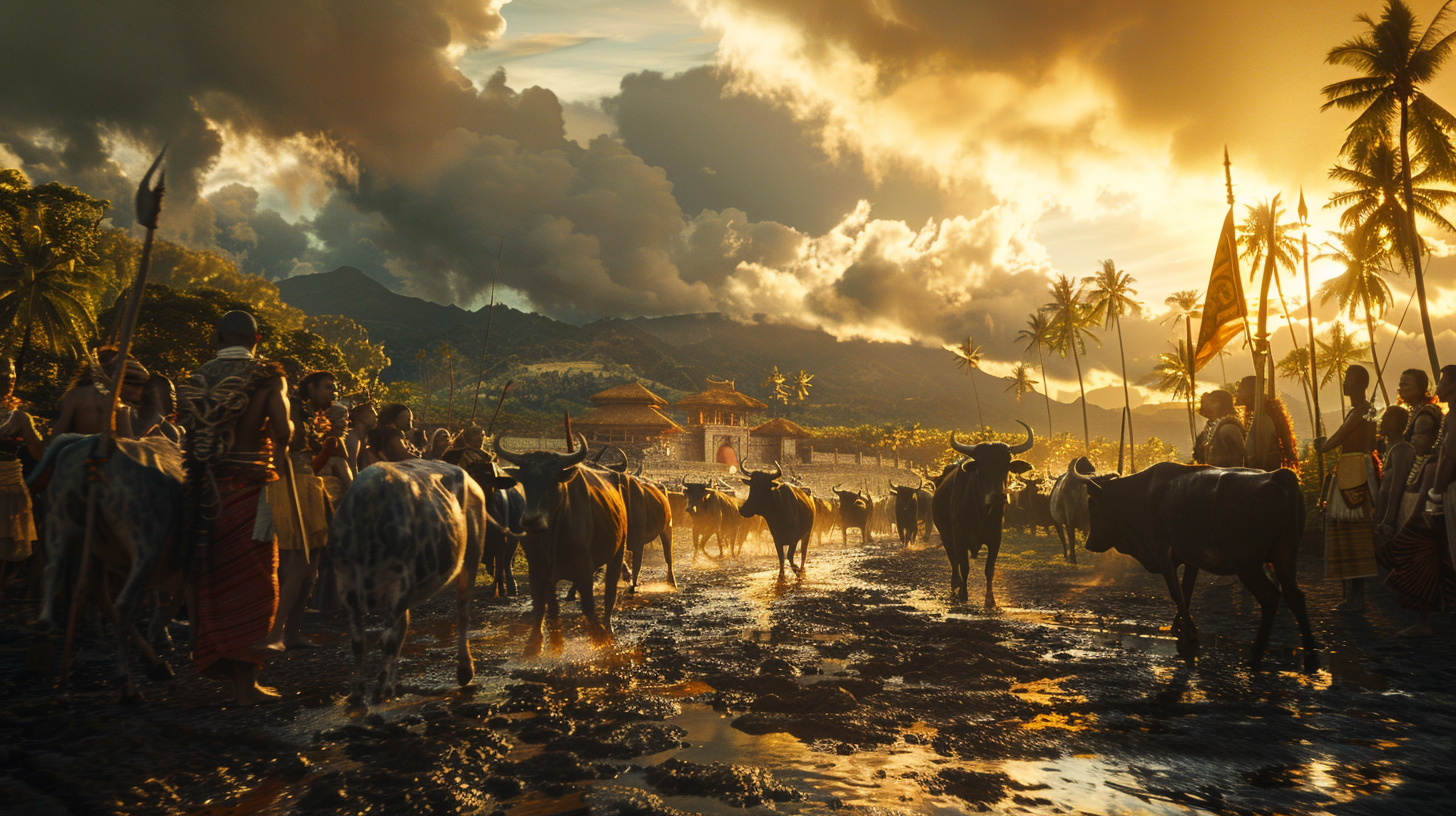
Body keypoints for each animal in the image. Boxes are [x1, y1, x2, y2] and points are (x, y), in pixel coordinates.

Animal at [931, 422, 1036, 609]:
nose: (998, 496)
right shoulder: (959, 538)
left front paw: (990, 600)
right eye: (982, 467)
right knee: (953, 561)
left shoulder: (995, 540)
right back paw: (955, 585)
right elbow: (964, 566)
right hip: (946, 536)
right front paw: (964, 594)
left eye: (1006, 465)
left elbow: (989, 570)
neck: (981, 513)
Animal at [1071, 463, 1322, 667]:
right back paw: (1310, 648)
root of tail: (1279, 475)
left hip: (1247, 565)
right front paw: (1179, 624)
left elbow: (1176, 591)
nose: (1089, 543)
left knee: (1270, 597)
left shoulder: (1162, 553)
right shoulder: (1191, 559)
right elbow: (1186, 591)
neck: (1140, 493)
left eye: (1092, 503)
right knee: (1295, 596)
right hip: (1284, 557)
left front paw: (1190, 630)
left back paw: (1258, 650)